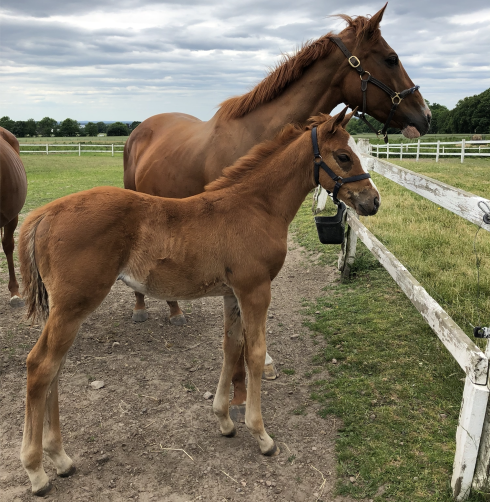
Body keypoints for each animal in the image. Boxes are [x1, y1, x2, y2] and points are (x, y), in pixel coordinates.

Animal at [18, 108, 378, 496]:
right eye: (343, 156)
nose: (373, 201)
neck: (255, 206)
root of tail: (45, 213)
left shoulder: (232, 293)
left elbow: (231, 347)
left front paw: (224, 420)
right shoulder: (255, 289)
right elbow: (254, 353)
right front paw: (261, 435)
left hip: (64, 310)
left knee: (54, 368)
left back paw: (61, 459)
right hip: (74, 305)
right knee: (41, 366)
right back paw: (37, 471)